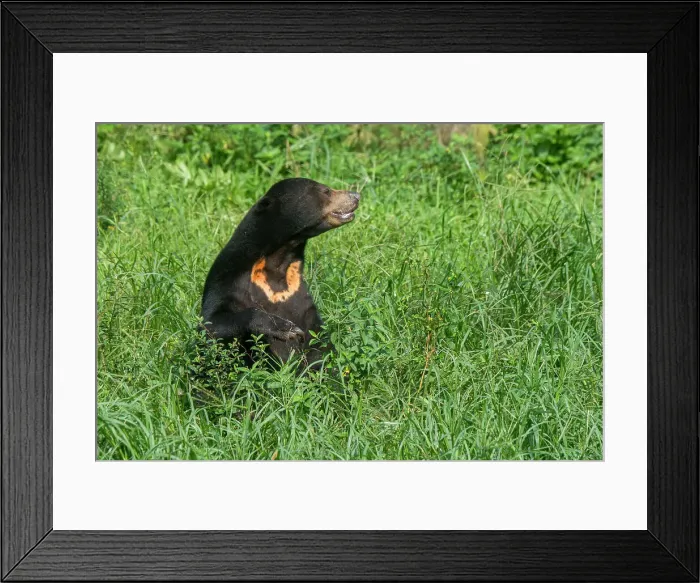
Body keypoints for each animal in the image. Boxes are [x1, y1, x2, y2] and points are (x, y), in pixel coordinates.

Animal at [200, 177, 360, 369]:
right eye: (326, 191)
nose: (356, 196)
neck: (278, 258)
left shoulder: (298, 293)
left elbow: (318, 342)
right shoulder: (227, 277)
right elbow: (211, 324)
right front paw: (286, 329)